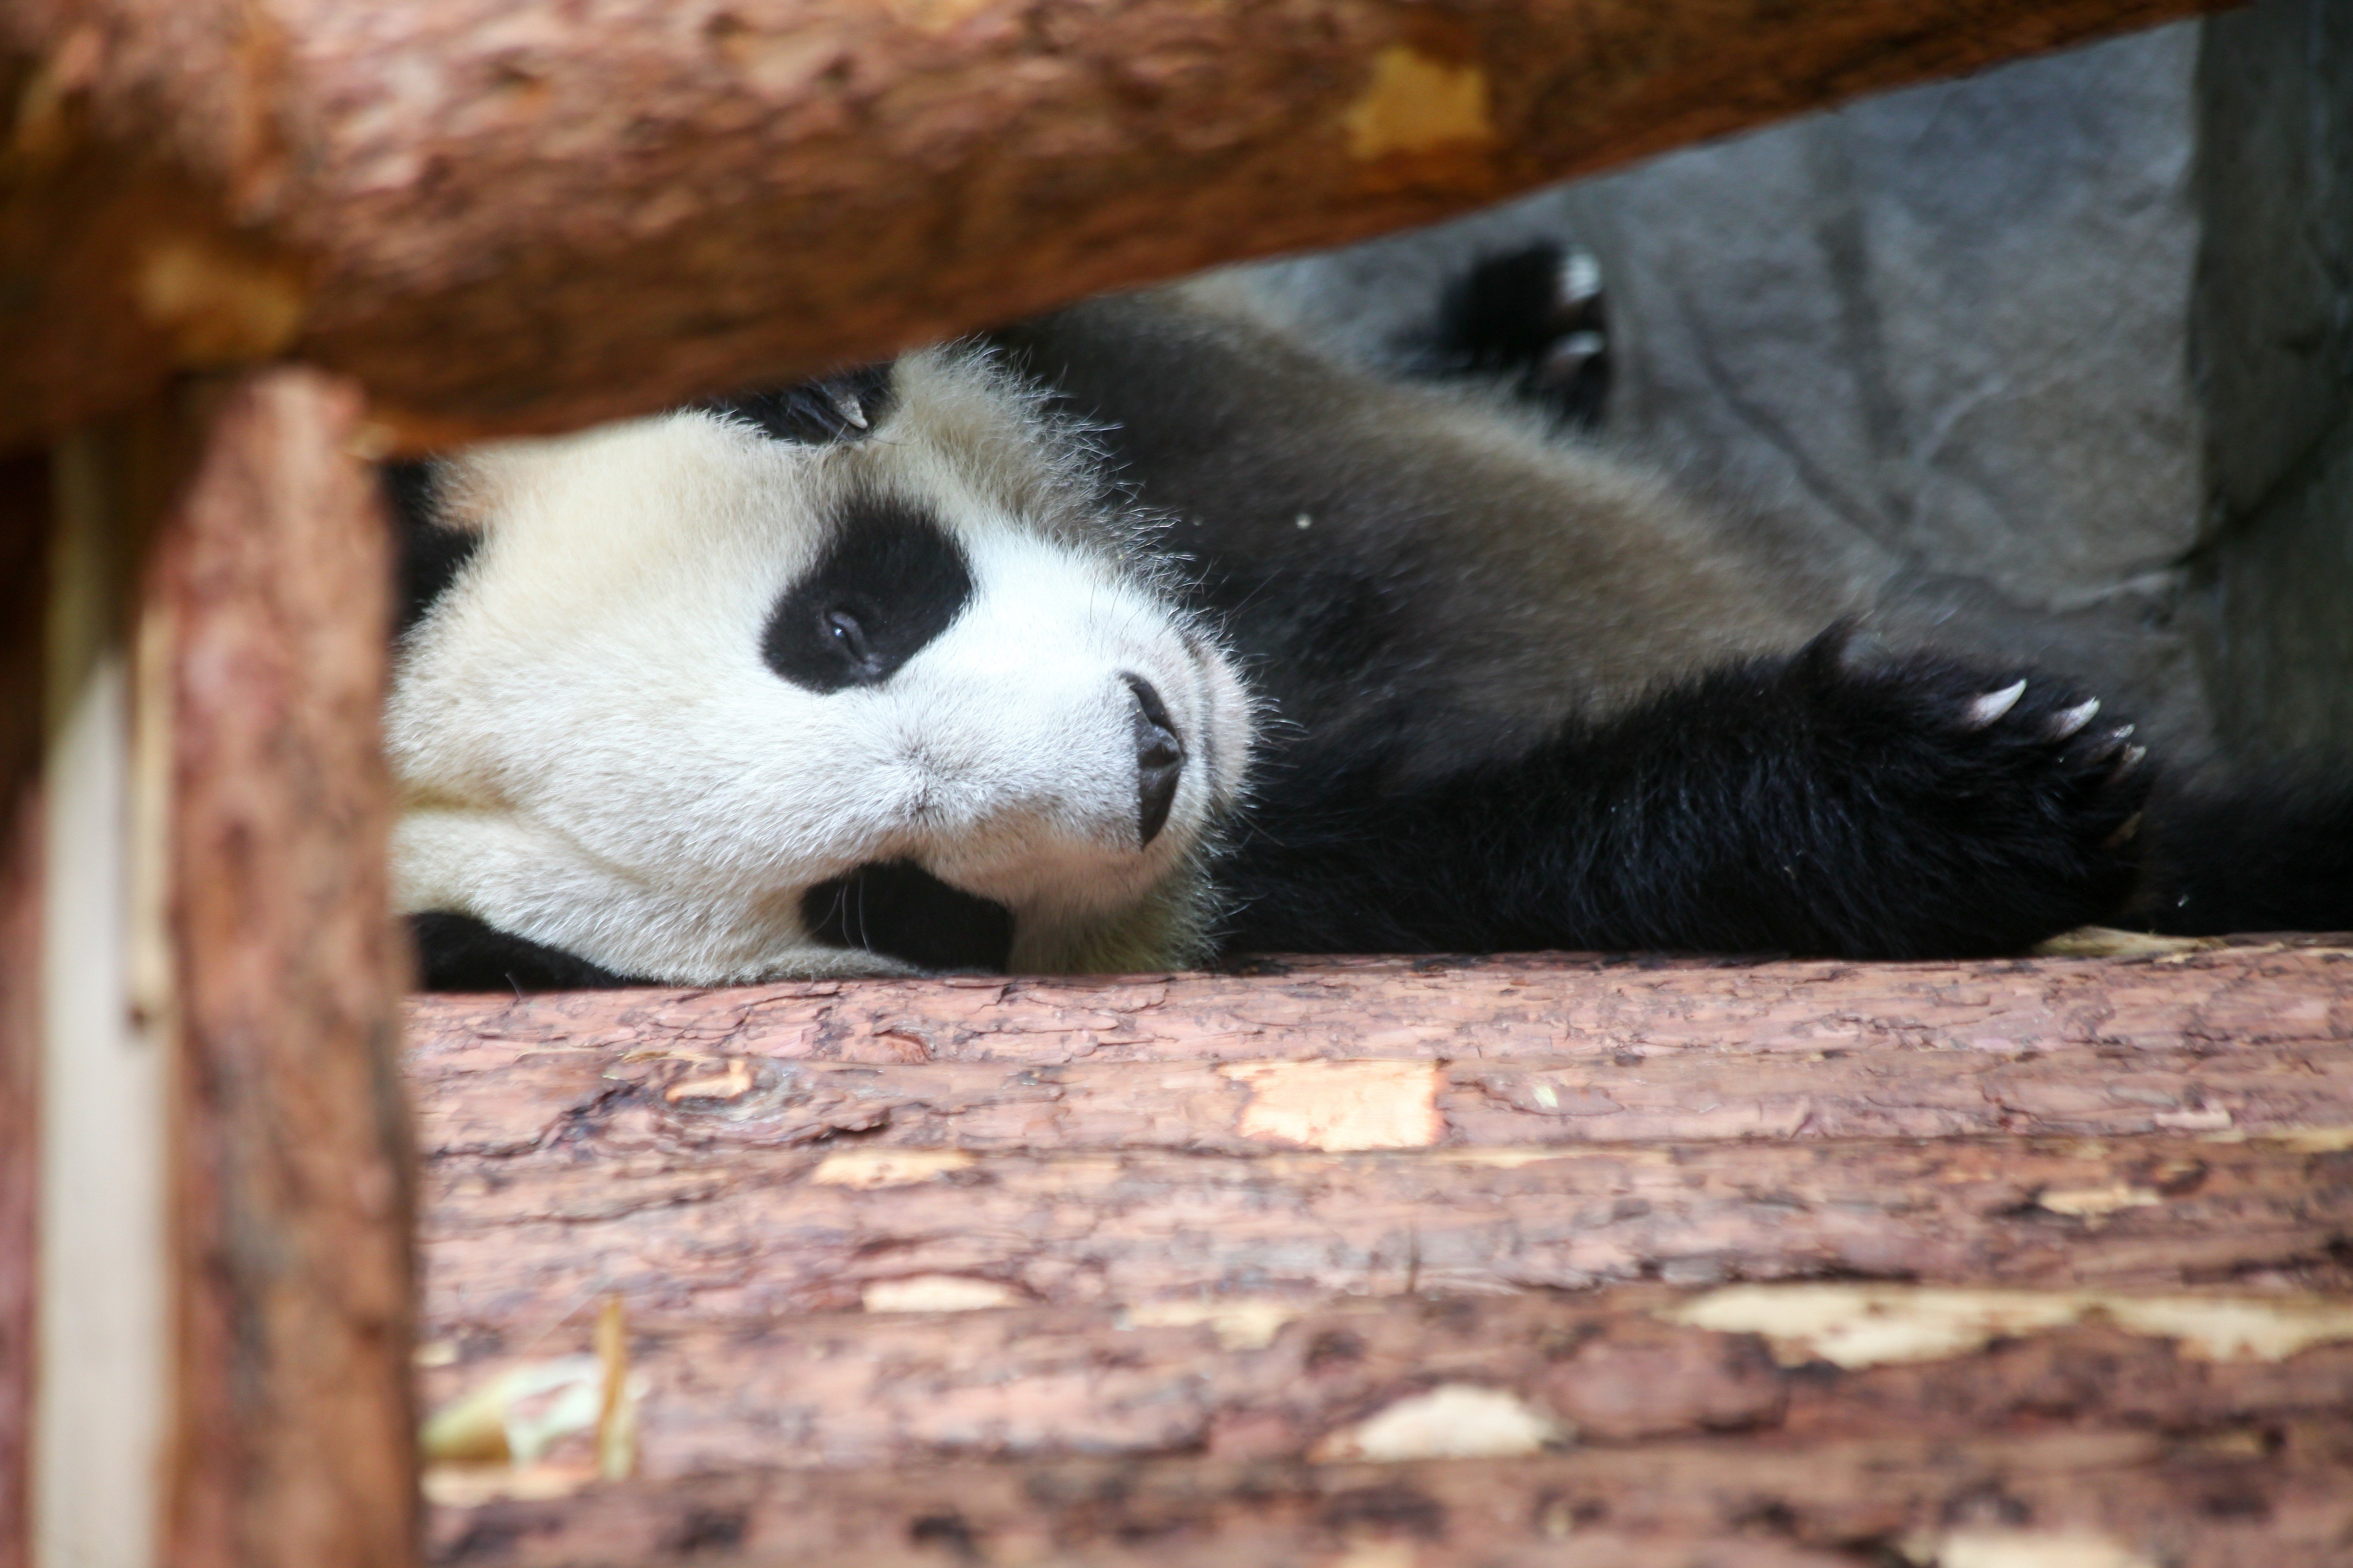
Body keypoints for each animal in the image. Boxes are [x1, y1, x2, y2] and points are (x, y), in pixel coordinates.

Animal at [386, 257, 2353, 992]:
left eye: (849, 621)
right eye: (894, 905)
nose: (1148, 754)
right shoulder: (1301, 864)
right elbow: (1506, 845)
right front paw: (1955, 792)